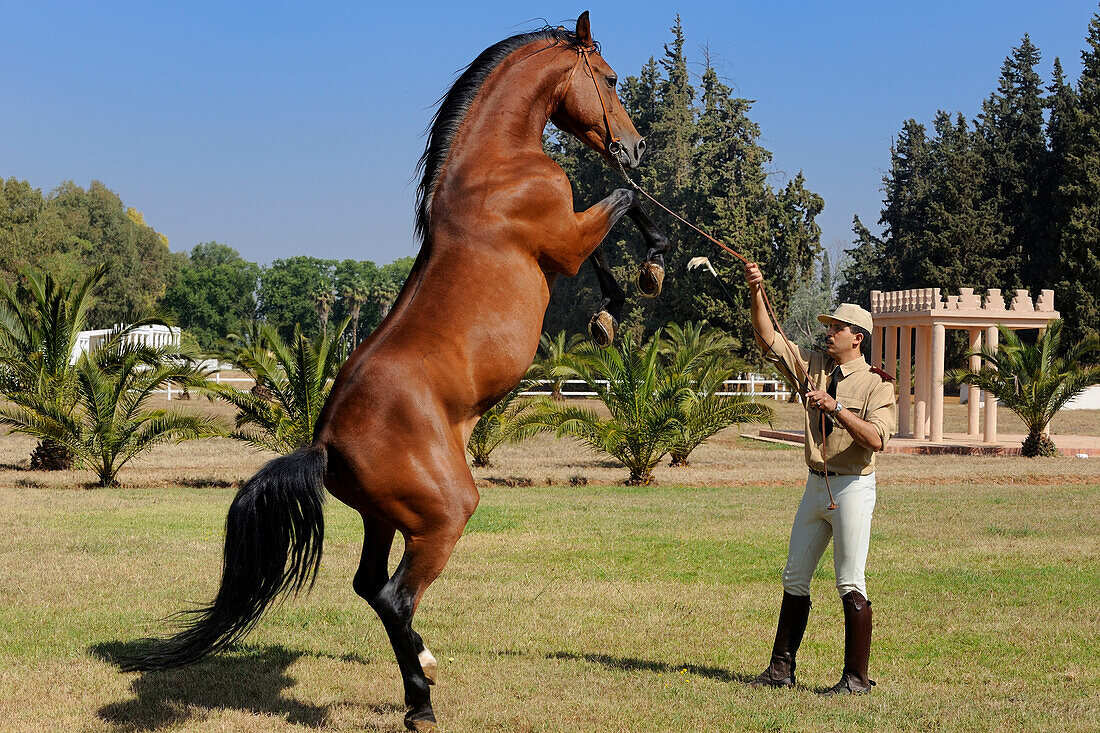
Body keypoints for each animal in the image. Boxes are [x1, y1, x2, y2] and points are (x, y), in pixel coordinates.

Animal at [120, 12, 668, 730]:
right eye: (608, 78)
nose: (634, 146)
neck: (492, 167)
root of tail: (324, 445)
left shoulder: (567, 246)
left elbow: (611, 233)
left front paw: (617, 304)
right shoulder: (567, 239)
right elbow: (624, 204)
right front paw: (650, 270)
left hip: (385, 518)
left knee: (369, 585)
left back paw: (422, 673)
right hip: (444, 515)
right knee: (394, 595)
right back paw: (422, 699)